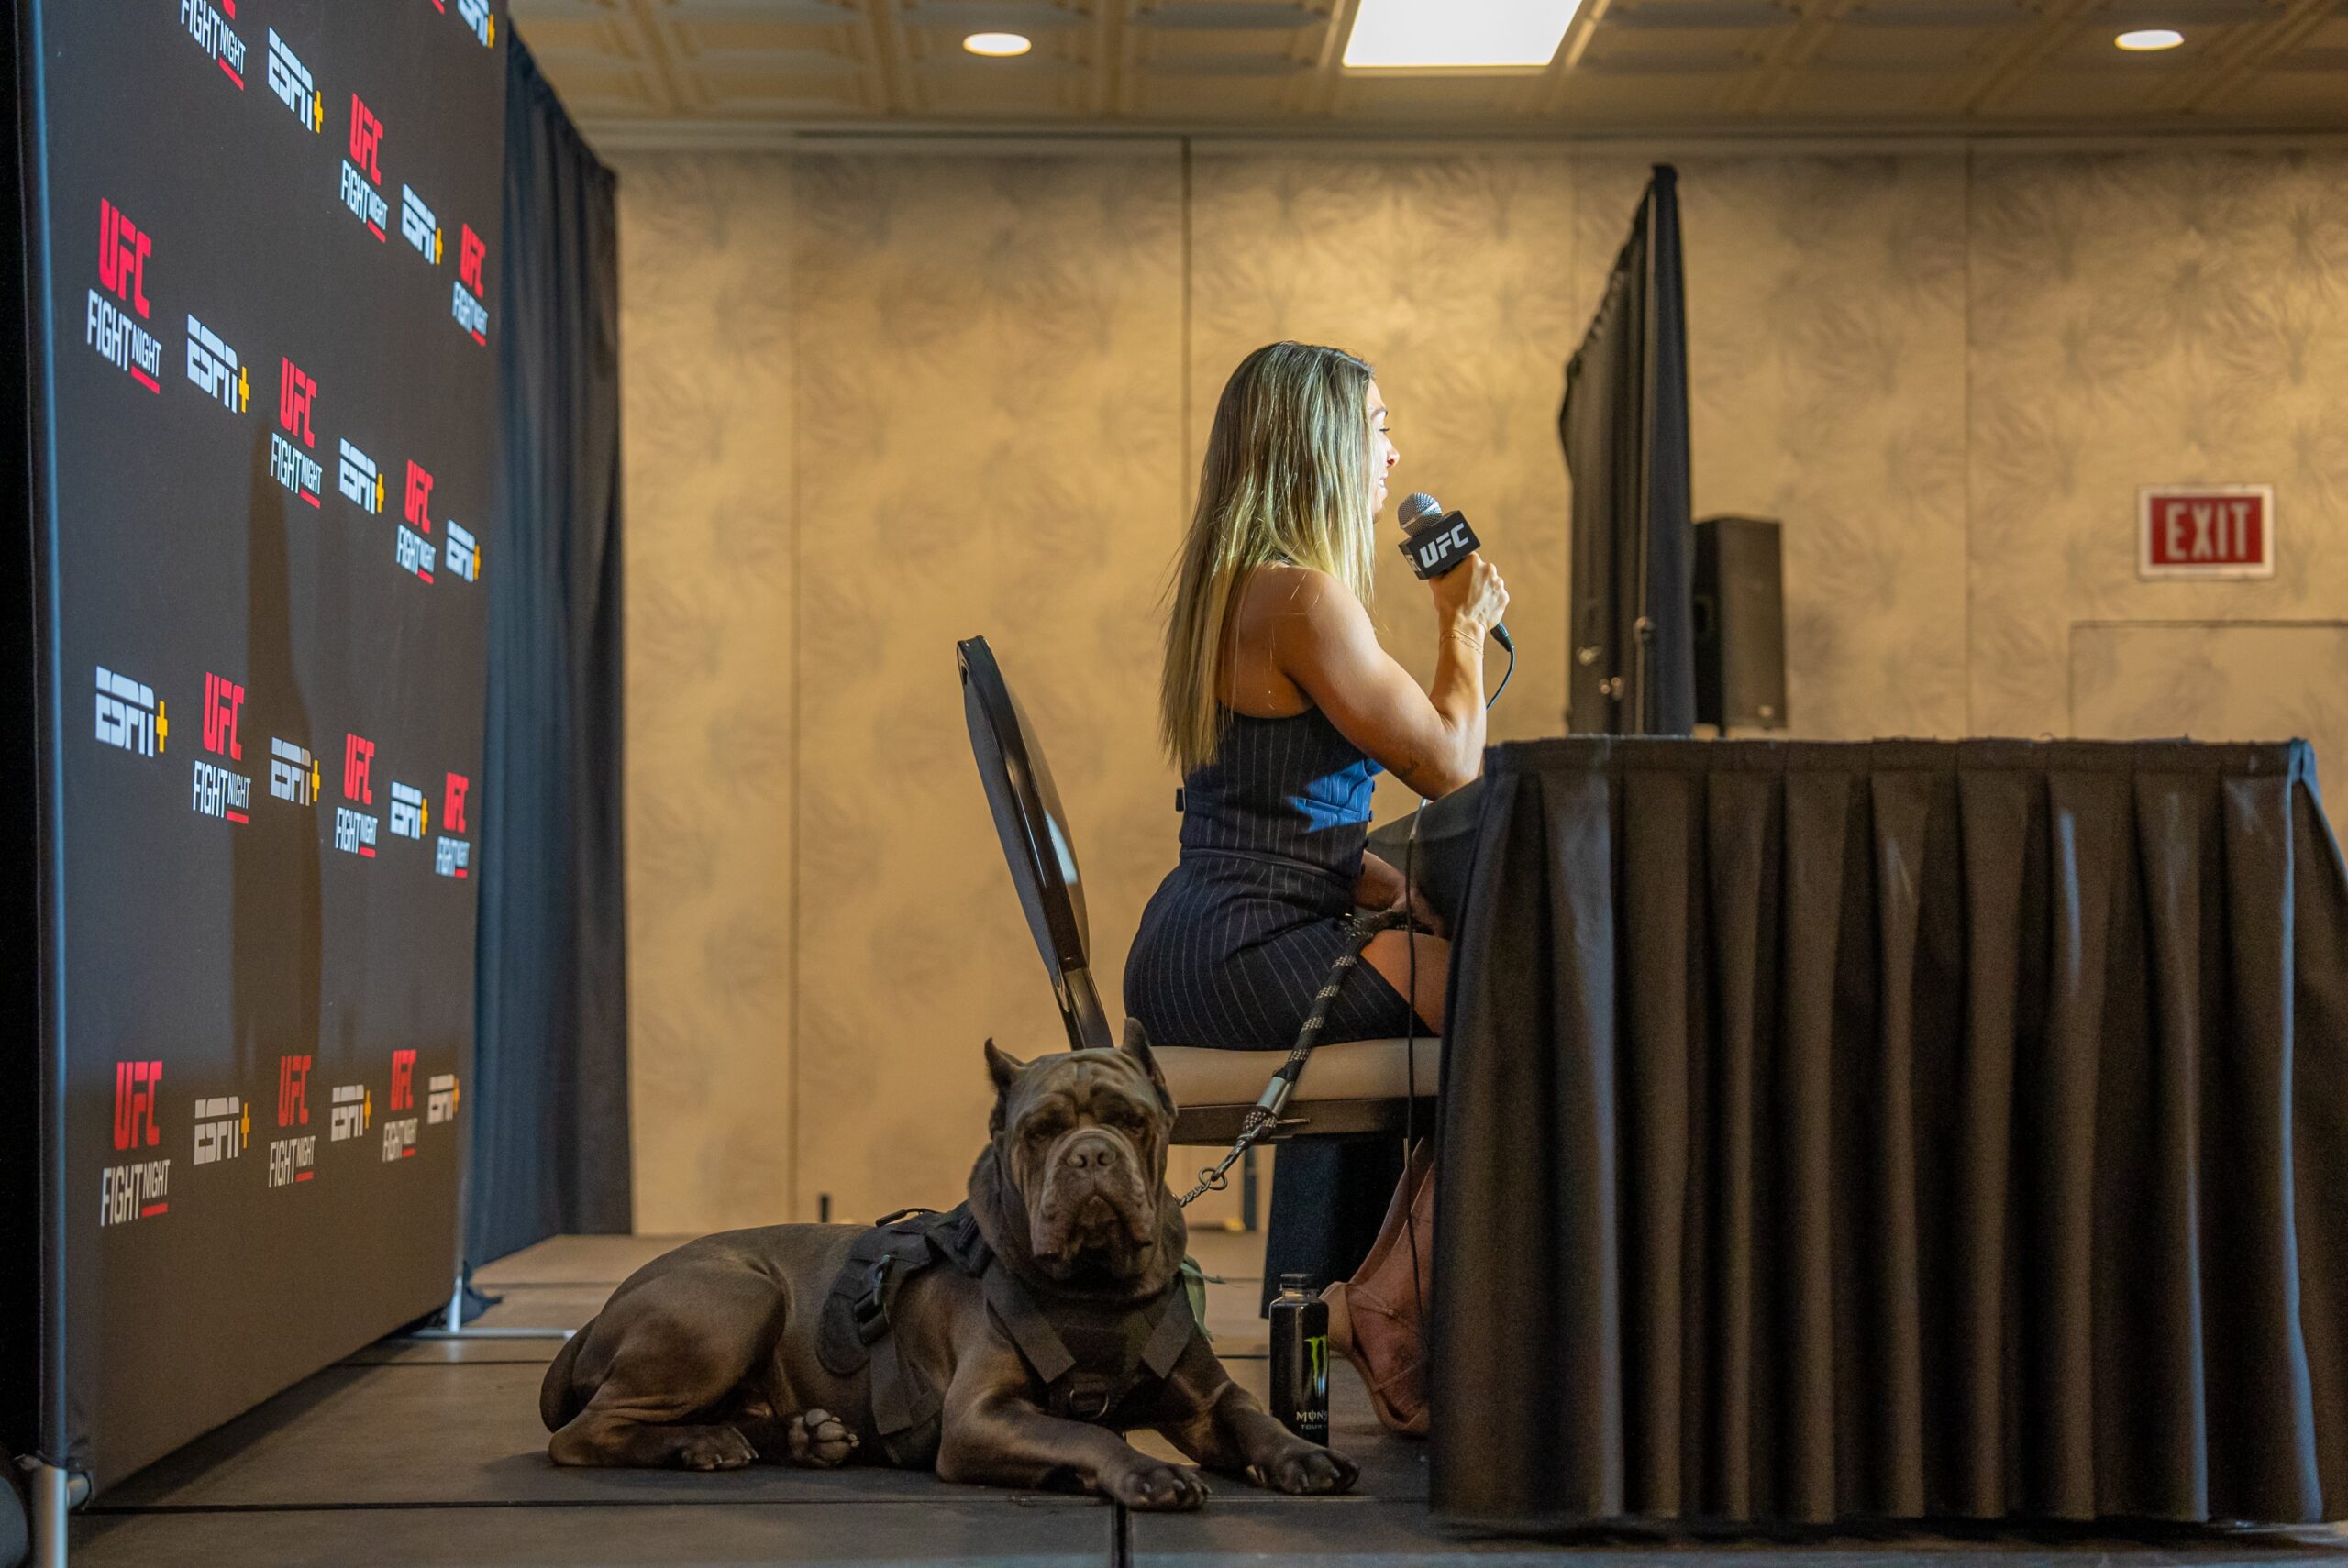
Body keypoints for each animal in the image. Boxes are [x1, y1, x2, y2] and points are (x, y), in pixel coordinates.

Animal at [539, 1023, 1361, 1511]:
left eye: (1132, 1121)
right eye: (1040, 1132)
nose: (1091, 1156)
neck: (1098, 1288)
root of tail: (594, 1318)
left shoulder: (1204, 1399)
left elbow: (1252, 1417)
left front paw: (1303, 1454)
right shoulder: (981, 1415)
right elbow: (1086, 1435)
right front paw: (1146, 1472)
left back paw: (806, 1437)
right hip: (737, 1299)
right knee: (582, 1433)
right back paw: (702, 1444)